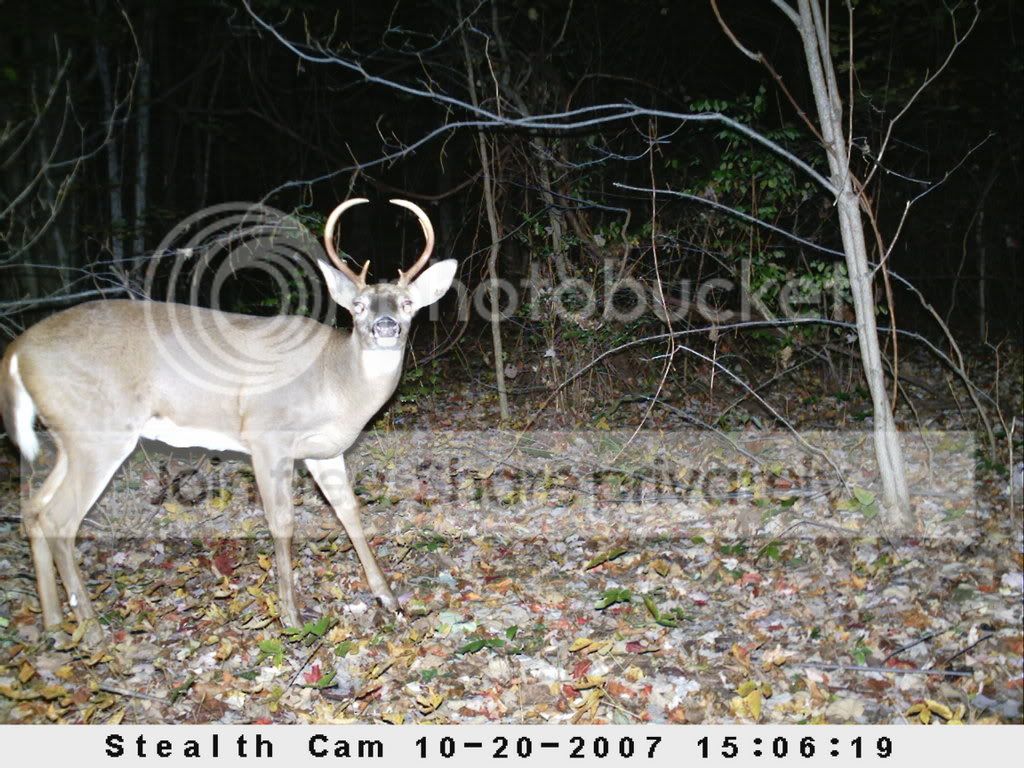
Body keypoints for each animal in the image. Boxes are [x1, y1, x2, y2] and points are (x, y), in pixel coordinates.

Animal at [0, 198, 457, 643]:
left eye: (408, 304)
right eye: (358, 306)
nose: (386, 326)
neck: (336, 384)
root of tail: (17, 351)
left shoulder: (324, 451)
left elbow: (349, 511)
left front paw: (387, 597)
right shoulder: (267, 435)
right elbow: (282, 521)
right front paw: (291, 615)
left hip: (71, 437)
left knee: (34, 509)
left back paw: (54, 625)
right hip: (100, 432)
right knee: (59, 519)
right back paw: (92, 632)